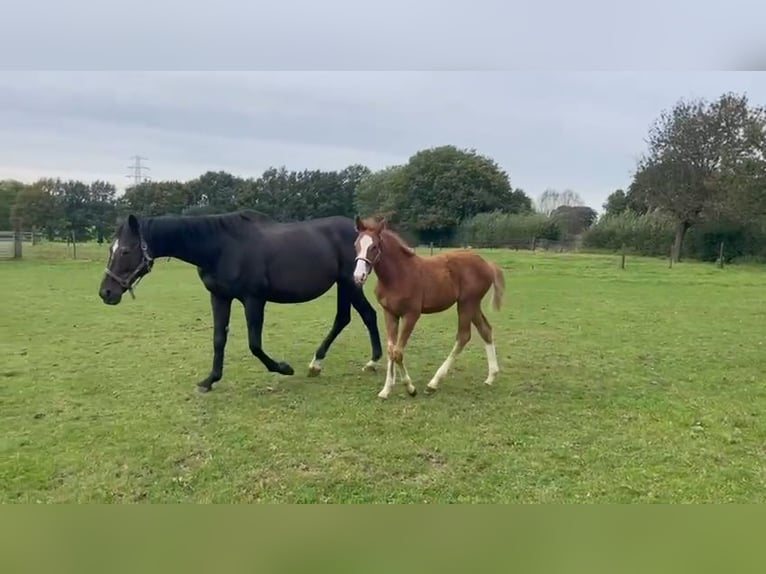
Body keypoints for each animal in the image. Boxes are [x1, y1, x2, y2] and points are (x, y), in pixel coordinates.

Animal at [98, 212, 384, 396]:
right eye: (111, 249)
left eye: (125, 251)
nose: (106, 292)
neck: (221, 247)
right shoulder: (219, 297)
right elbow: (218, 339)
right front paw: (209, 380)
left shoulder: (253, 299)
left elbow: (254, 344)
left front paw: (283, 368)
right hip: (345, 285)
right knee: (349, 318)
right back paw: (321, 363)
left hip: (349, 283)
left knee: (363, 316)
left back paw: (367, 362)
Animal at [352, 217, 508, 400]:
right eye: (356, 244)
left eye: (374, 246)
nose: (358, 276)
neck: (398, 275)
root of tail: (487, 263)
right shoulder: (389, 313)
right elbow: (391, 350)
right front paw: (386, 389)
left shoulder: (411, 314)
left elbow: (398, 351)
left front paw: (410, 388)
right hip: (473, 304)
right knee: (485, 330)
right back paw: (491, 377)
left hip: (467, 303)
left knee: (463, 336)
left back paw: (433, 383)